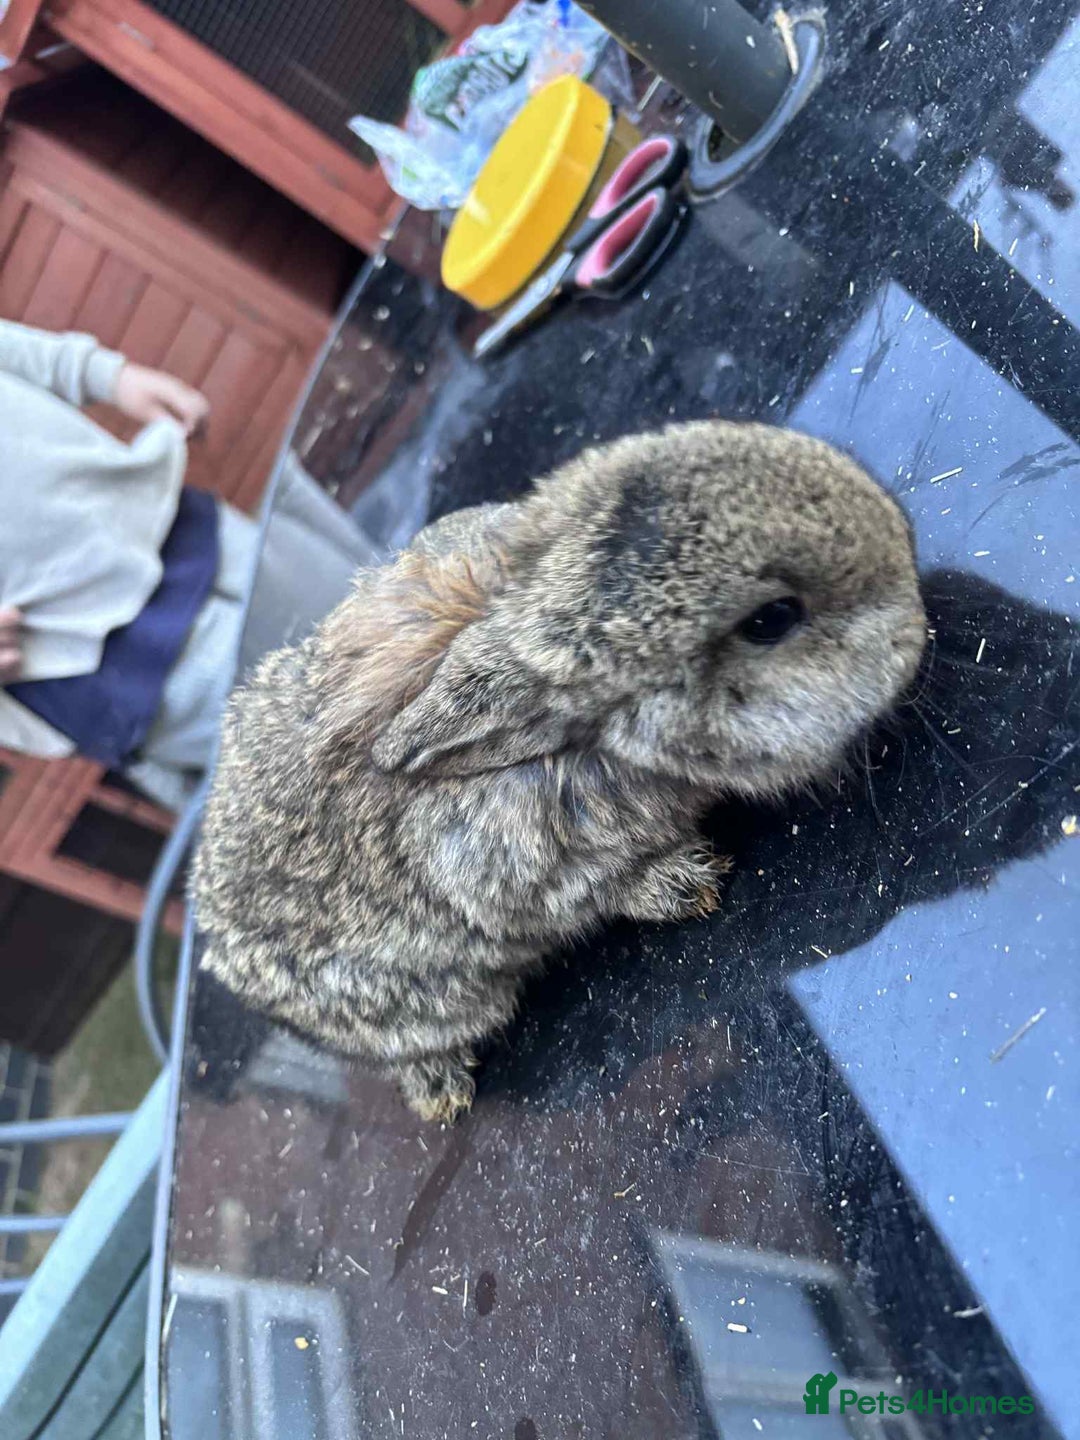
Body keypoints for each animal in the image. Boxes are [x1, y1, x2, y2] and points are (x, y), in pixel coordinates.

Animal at [193, 421, 925, 1122]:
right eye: (772, 619)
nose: (915, 619)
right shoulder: (511, 870)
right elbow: (598, 890)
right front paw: (687, 884)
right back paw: (441, 1092)